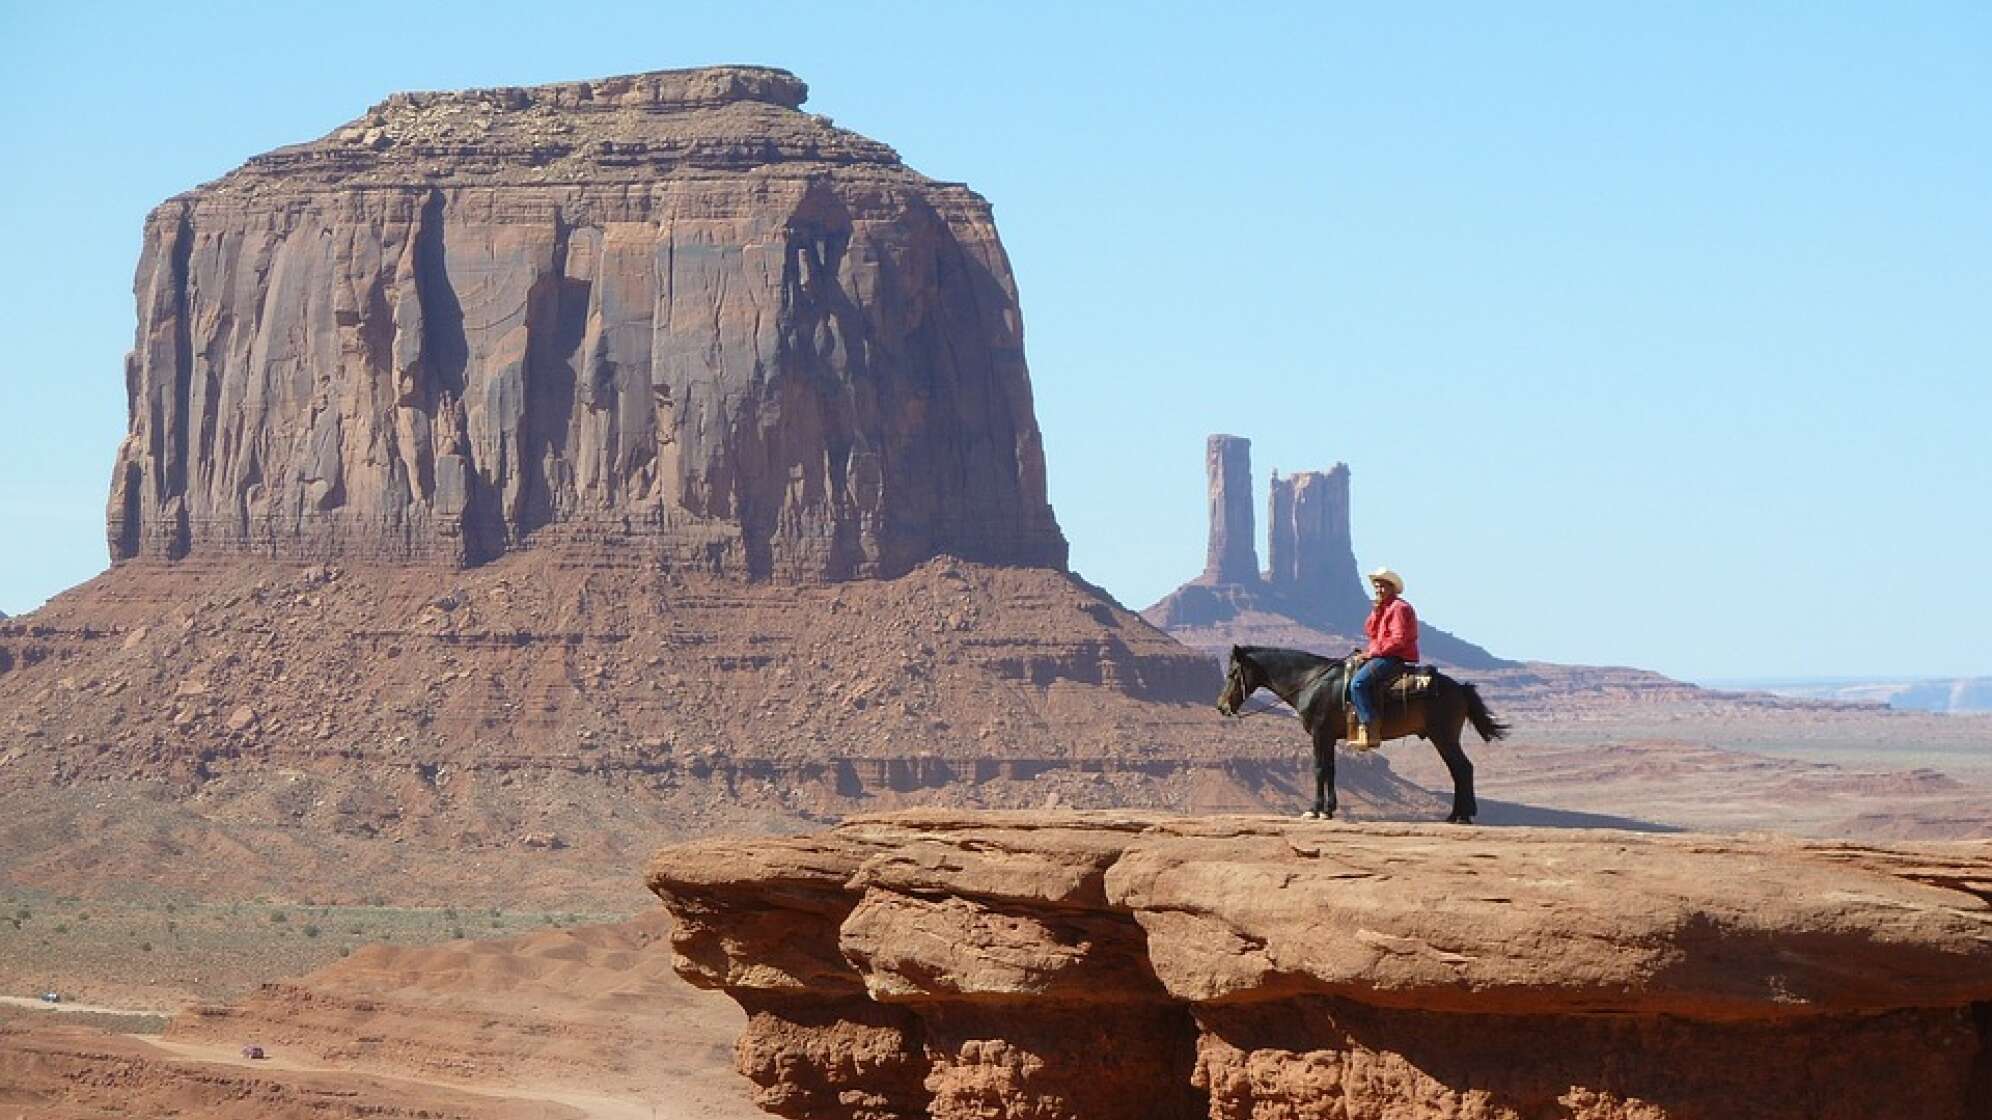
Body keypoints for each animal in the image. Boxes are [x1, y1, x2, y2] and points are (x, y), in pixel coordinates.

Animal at [1211, 645, 1505, 821]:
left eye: (1232, 673)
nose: (1221, 706)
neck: (1311, 681)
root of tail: (1461, 688)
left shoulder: (1319, 733)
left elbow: (1319, 769)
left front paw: (1315, 810)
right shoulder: (1329, 737)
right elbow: (1330, 770)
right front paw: (1329, 810)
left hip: (1443, 736)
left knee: (1462, 769)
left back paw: (1462, 815)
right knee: (1459, 770)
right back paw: (1457, 815)